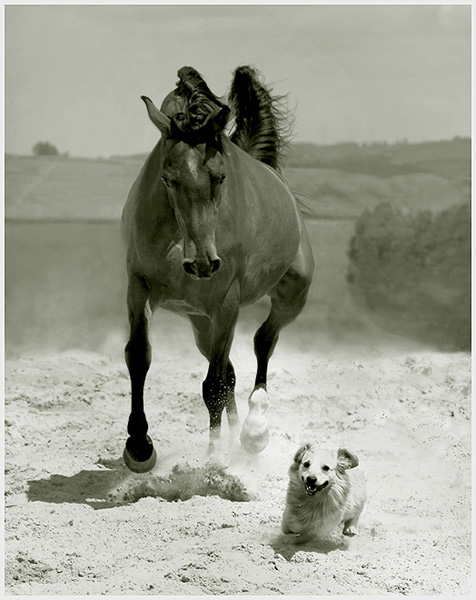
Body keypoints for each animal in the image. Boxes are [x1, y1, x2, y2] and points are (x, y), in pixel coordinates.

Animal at [121, 63, 314, 472]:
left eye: (221, 177)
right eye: (168, 179)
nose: (202, 264)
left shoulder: (226, 303)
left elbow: (213, 386)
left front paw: (213, 461)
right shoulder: (139, 288)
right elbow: (139, 356)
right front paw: (139, 446)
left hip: (291, 296)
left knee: (263, 342)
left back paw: (254, 432)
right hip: (199, 322)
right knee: (230, 370)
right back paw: (238, 437)